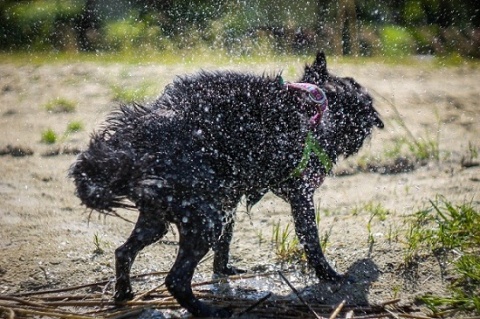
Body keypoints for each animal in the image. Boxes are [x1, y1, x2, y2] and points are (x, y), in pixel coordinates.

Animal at [69, 52, 382, 318]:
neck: (318, 105)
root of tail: (130, 147)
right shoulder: (300, 193)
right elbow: (312, 239)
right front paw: (330, 275)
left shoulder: (229, 199)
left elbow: (225, 244)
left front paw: (224, 270)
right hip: (203, 221)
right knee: (175, 279)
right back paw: (208, 311)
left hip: (161, 218)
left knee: (124, 251)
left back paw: (124, 294)